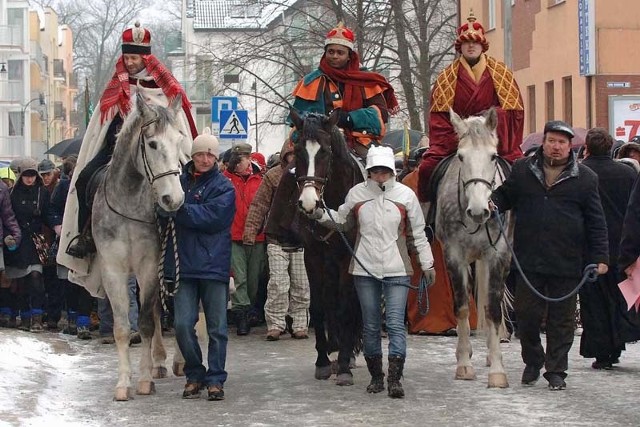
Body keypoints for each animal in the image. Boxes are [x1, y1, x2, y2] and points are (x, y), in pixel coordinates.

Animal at [88, 94, 188, 402]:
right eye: (152, 144)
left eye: (179, 140)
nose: (173, 199)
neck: (128, 202)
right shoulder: (112, 269)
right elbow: (123, 327)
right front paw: (123, 383)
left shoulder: (149, 265)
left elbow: (144, 323)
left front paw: (144, 380)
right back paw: (159, 362)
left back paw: (178, 361)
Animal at [270, 109, 362, 384]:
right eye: (299, 151)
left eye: (326, 152)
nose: (309, 204)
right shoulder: (313, 256)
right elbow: (320, 306)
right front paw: (322, 361)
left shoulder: (347, 259)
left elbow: (346, 307)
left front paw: (344, 366)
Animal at [432, 108, 512, 390]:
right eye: (461, 156)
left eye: (493, 156)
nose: (479, 211)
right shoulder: (454, 256)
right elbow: (463, 308)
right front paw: (464, 365)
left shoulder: (498, 255)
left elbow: (492, 309)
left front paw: (498, 369)